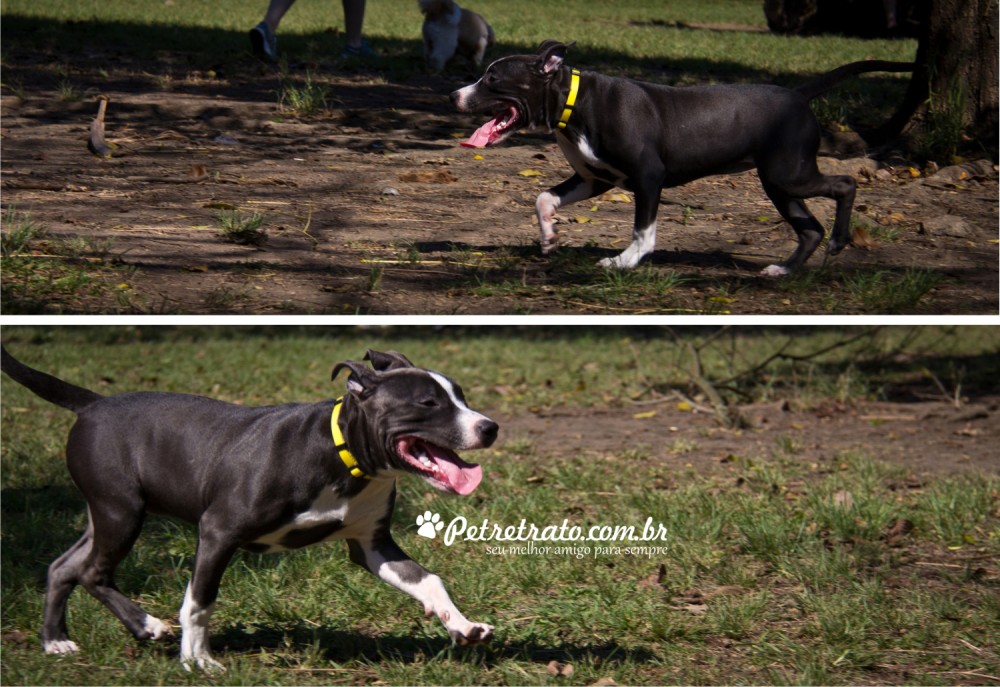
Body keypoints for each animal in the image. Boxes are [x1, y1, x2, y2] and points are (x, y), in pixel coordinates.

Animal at [0, 350, 500, 672]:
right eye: (428, 403)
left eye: (462, 397)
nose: (490, 427)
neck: (344, 459)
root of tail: (94, 403)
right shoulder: (218, 532)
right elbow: (200, 600)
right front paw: (198, 660)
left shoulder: (371, 544)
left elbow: (429, 580)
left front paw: (463, 625)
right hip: (121, 511)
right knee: (93, 572)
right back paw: (146, 625)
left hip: (103, 511)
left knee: (64, 566)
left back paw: (56, 641)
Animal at [454, 41, 916, 274]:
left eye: (492, 78)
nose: (454, 96)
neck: (574, 102)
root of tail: (798, 95)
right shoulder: (595, 179)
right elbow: (543, 198)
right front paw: (549, 236)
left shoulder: (648, 176)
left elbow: (643, 230)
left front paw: (625, 261)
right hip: (778, 182)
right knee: (809, 229)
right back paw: (784, 270)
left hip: (789, 172)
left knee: (845, 185)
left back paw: (839, 240)